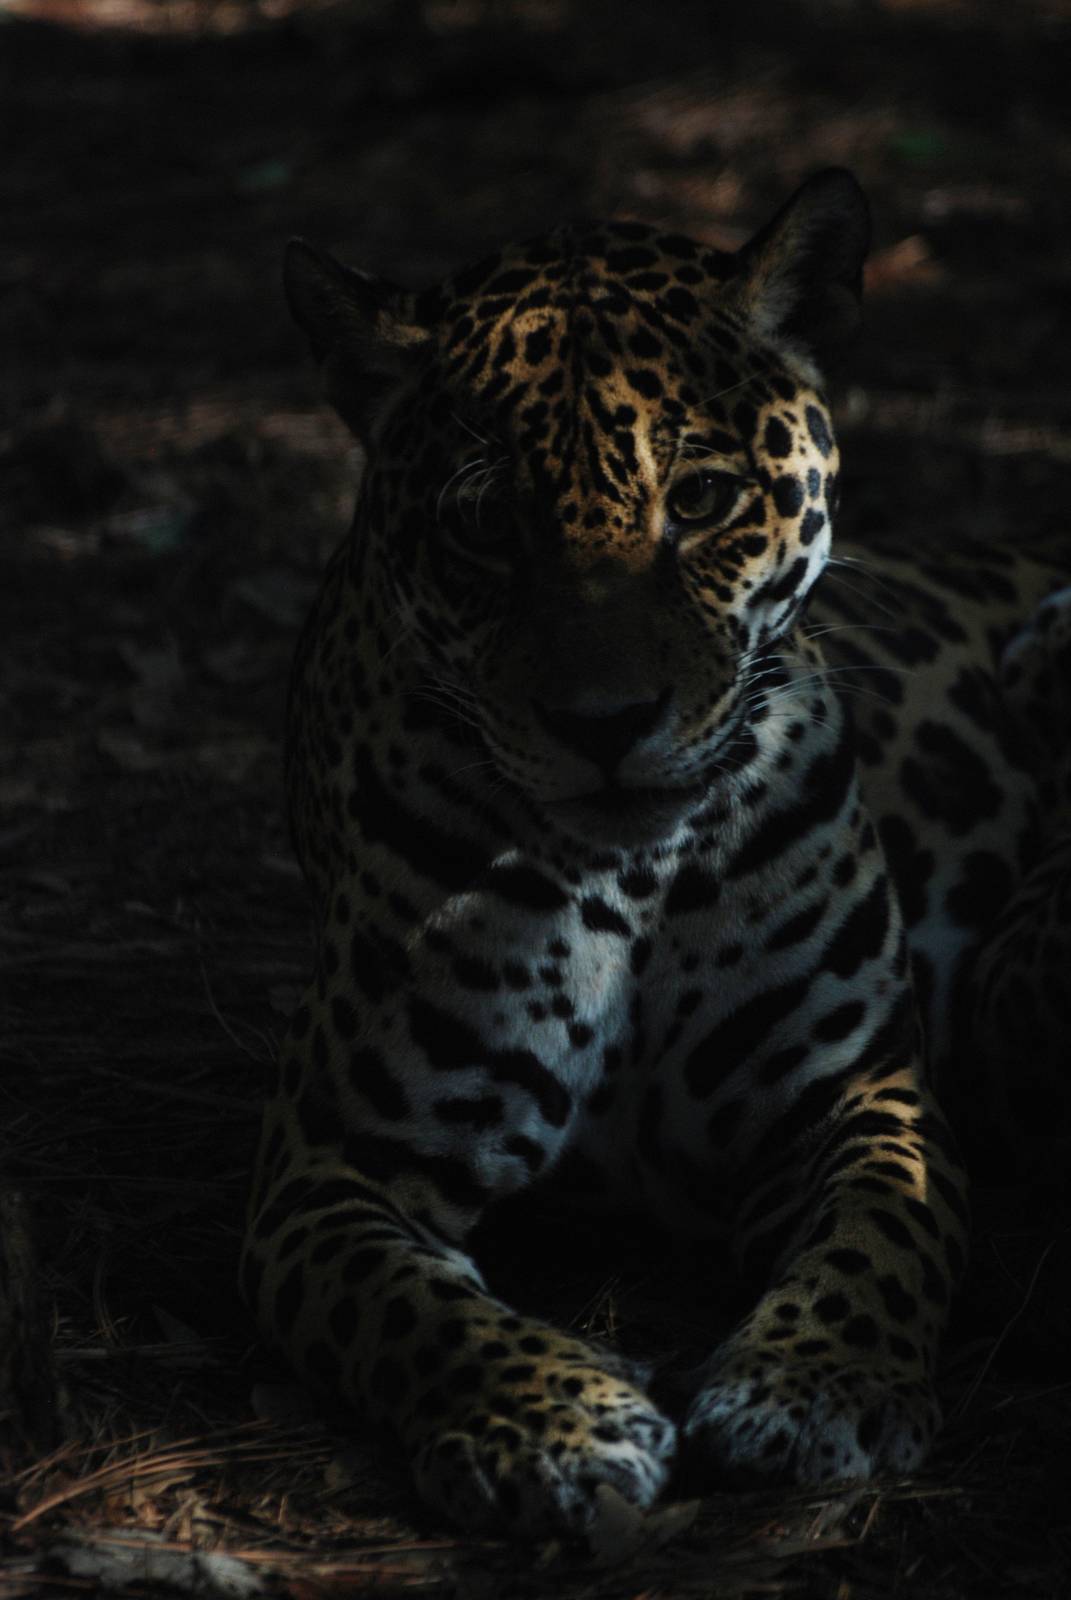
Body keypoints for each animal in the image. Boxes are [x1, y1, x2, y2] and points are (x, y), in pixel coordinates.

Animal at [240, 169, 1071, 1537]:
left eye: (702, 501)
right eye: (484, 525)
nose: (605, 722)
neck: (634, 882)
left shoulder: (855, 1091)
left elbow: (886, 1239)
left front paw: (813, 1386)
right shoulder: (332, 1164)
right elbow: (411, 1311)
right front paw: (551, 1423)